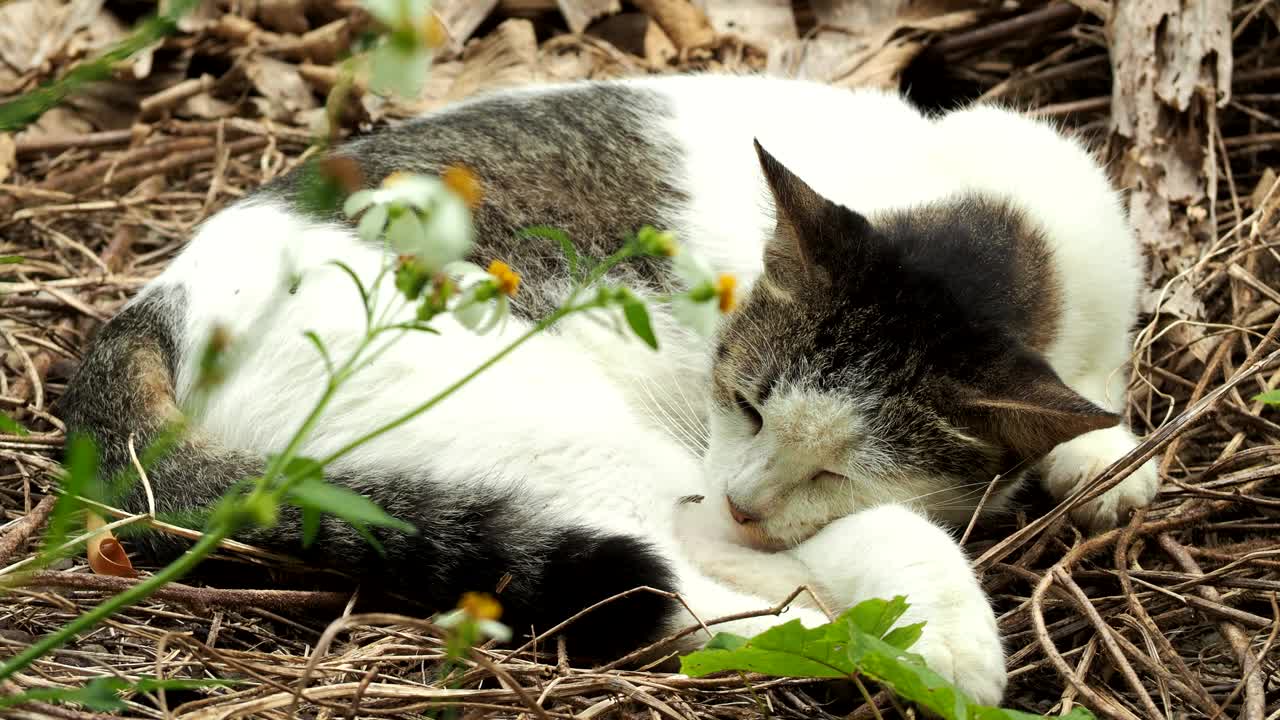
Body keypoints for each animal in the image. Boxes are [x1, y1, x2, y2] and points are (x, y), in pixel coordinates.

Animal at [57, 73, 1162, 702]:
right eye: (744, 401)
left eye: (841, 464)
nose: (749, 496)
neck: (994, 240)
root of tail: (151, 307)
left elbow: (1090, 387)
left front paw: (1105, 451)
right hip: (563, 419)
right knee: (677, 581)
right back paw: (908, 641)